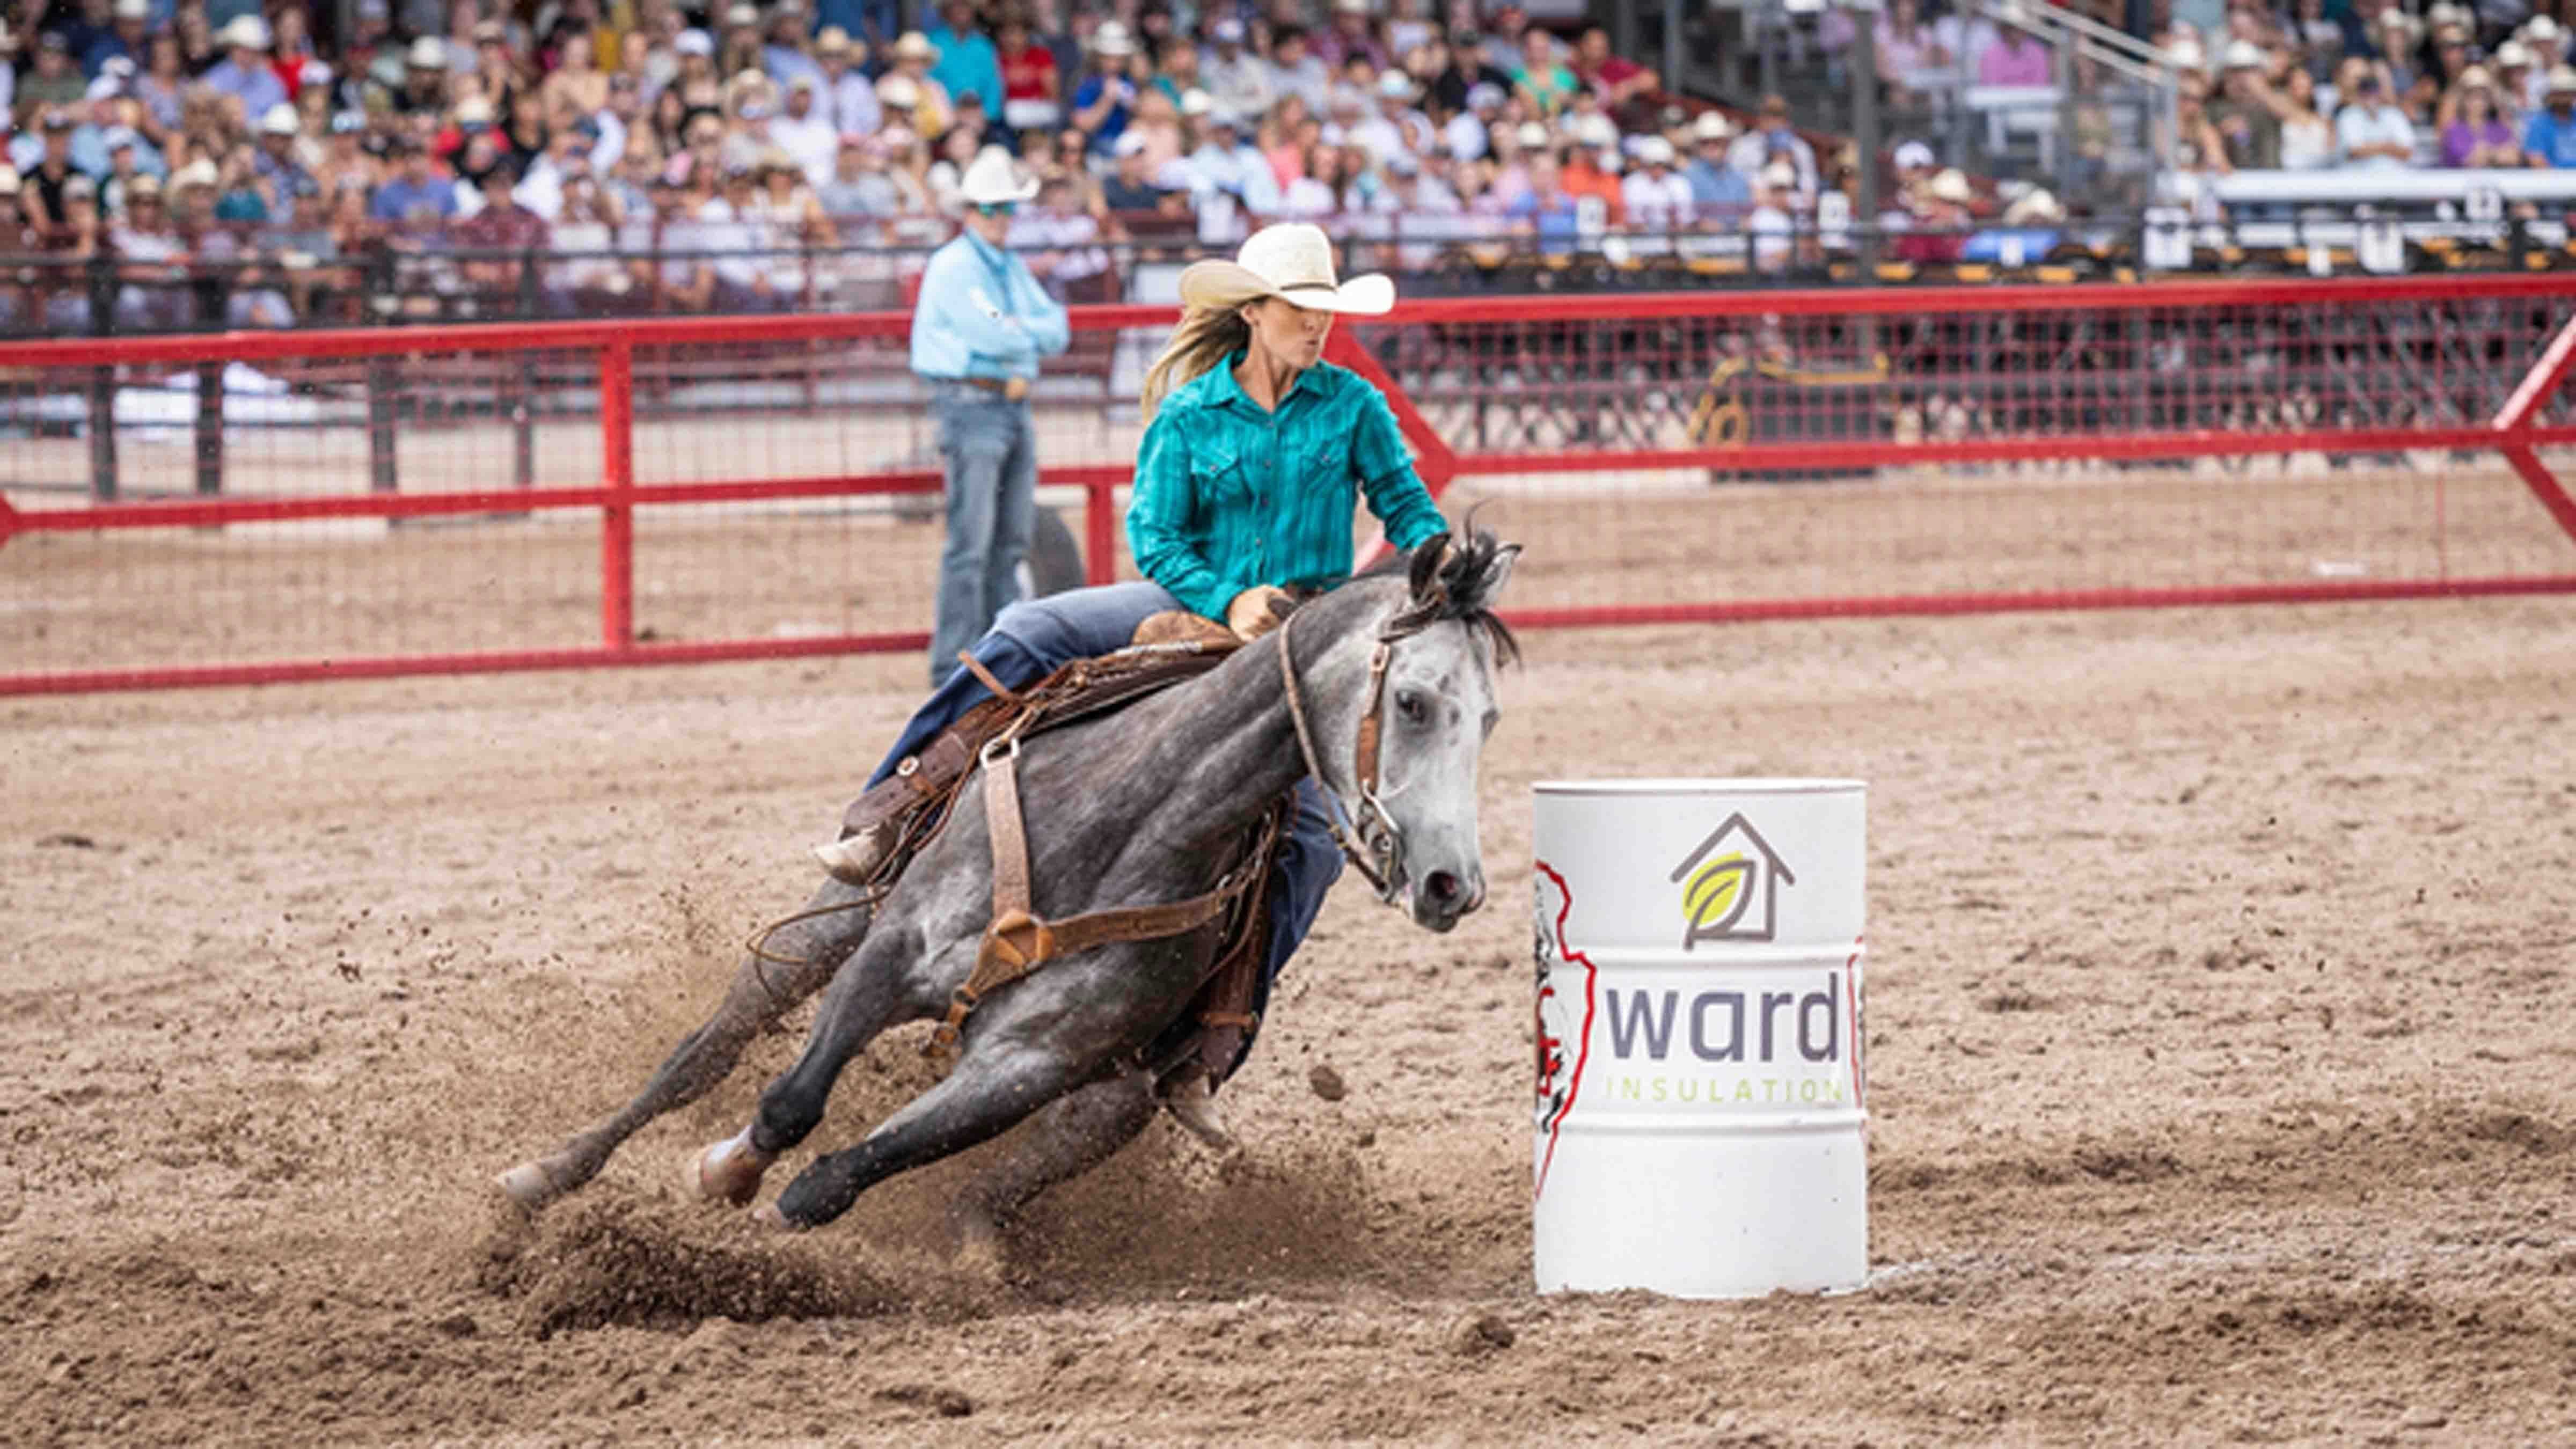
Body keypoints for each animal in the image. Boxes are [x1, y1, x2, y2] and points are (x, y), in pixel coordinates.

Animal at [497, 536, 1504, 1258]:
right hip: (830, 926)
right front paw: (723, 1172)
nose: (1453, 884)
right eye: (1413, 702)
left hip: (1117, 1098)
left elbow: (838, 1177)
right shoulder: (887, 956)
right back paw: (543, 1175)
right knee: (702, 1055)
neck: (1123, 827)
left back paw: (981, 1250)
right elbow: (790, 1101)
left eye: (1489, 717)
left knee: (1008, 1181)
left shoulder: (1029, 1065)